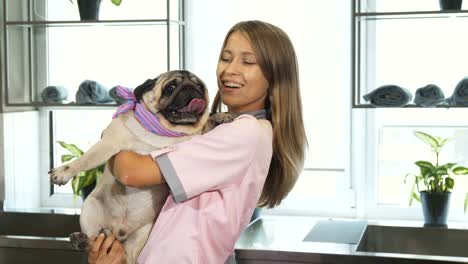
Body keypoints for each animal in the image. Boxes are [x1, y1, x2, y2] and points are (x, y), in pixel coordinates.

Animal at [49, 70, 232, 264]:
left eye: (199, 86)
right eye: (171, 87)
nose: (190, 88)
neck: (165, 132)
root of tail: (117, 231)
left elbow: (206, 126)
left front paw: (220, 117)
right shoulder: (108, 144)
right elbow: (84, 160)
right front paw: (63, 172)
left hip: (143, 234)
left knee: (126, 257)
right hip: (89, 209)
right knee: (95, 241)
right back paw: (82, 241)